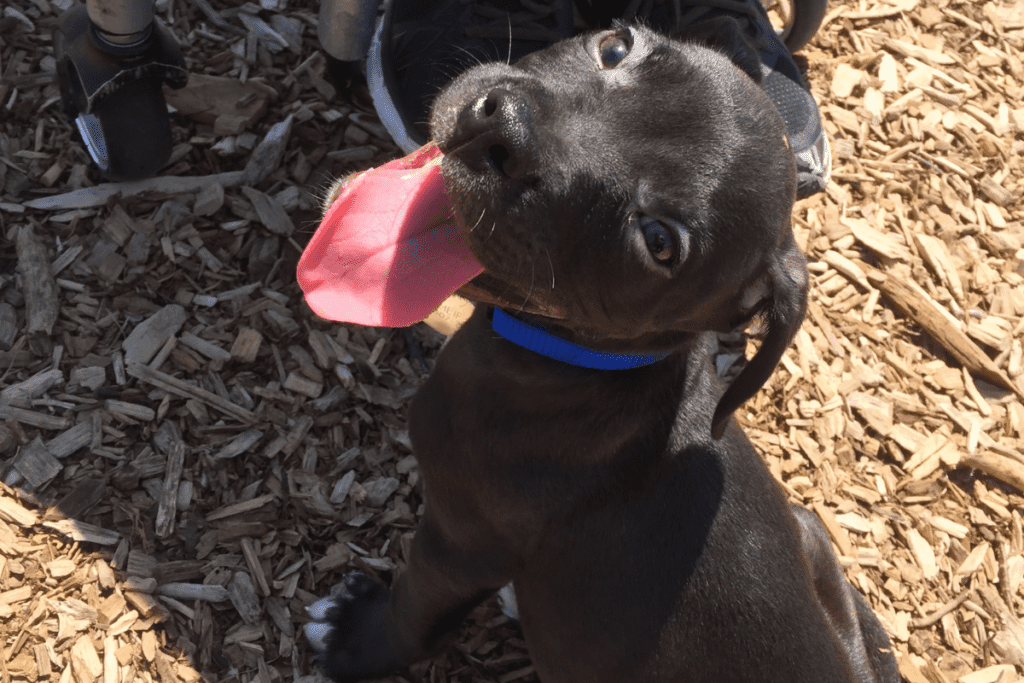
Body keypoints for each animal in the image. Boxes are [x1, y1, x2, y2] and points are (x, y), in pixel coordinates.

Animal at [301, 18, 897, 679]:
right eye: (615, 47)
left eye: (659, 242)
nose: (503, 126)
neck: (583, 369)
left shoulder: (463, 542)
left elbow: (414, 613)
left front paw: (355, 639)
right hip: (812, 533)